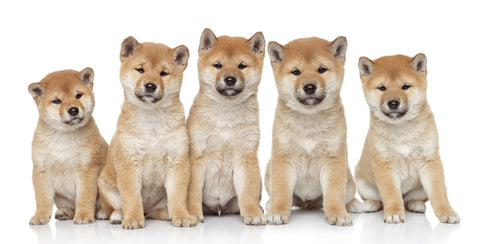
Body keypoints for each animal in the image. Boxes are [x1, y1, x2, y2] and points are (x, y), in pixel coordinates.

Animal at [27, 68, 108, 225]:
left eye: (78, 95)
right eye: (57, 100)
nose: (73, 110)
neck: (64, 137)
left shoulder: (87, 169)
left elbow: (84, 197)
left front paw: (83, 215)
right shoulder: (41, 170)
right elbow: (42, 198)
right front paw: (40, 216)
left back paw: (102, 212)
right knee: (69, 206)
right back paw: (65, 212)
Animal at [97, 36, 195, 229]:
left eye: (163, 73)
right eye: (140, 69)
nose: (150, 85)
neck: (152, 120)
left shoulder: (177, 159)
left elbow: (178, 196)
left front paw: (182, 215)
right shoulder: (129, 160)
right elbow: (132, 197)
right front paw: (133, 219)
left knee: (158, 212)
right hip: (104, 184)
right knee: (113, 207)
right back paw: (116, 215)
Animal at [188, 28, 268, 225]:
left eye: (241, 66)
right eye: (218, 65)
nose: (230, 79)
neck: (225, 115)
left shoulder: (245, 156)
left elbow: (248, 191)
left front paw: (252, 213)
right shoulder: (197, 157)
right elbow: (192, 192)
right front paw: (192, 213)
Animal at [264, 37, 362, 226]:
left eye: (321, 69)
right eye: (296, 71)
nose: (309, 87)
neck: (308, 121)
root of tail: (307, 203)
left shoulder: (333, 159)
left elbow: (333, 192)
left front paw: (338, 213)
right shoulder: (284, 157)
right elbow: (281, 190)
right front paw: (277, 211)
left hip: (348, 178)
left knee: (345, 196)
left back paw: (354, 205)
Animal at [356, 54, 462, 224]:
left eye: (405, 86)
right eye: (382, 88)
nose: (393, 103)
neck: (402, 130)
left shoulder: (430, 161)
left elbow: (438, 192)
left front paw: (447, 212)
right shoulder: (385, 163)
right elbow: (391, 193)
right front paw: (393, 213)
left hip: (420, 189)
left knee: (411, 200)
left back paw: (416, 205)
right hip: (362, 182)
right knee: (378, 199)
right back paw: (370, 205)